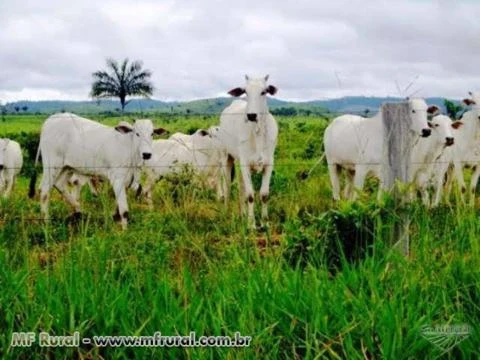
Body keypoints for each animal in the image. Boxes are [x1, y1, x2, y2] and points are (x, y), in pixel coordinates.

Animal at [30, 112, 165, 228]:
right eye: (137, 133)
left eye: (152, 134)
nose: (146, 154)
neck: (130, 147)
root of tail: (48, 121)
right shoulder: (117, 179)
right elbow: (124, 210)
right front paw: (124, 230)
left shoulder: (129, 180)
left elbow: (127, 197)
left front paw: (115, 216)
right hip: (52, 165)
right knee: (44, 190)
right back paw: (46, 222)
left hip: (66, 167)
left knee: (59, 184)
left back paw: (78, 210)